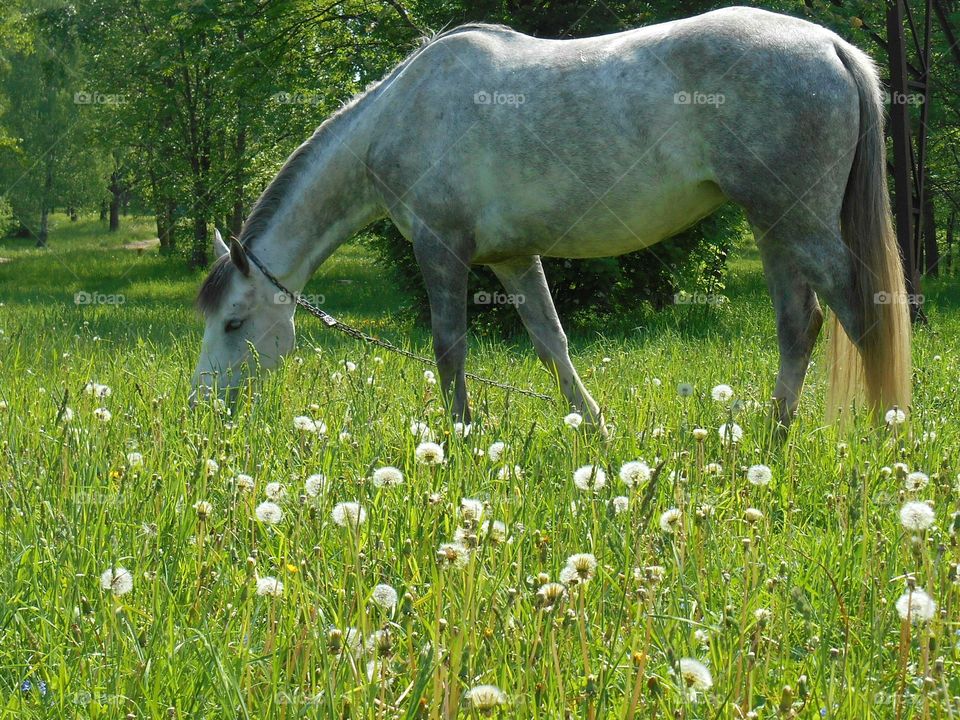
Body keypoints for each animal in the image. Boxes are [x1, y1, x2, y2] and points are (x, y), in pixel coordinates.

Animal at [191, 7, 912, 428]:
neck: (398, 115)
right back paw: (771, 444)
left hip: (798, 224)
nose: (200, 408)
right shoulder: (512, 257)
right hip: (774, 228)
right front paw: (595, 428)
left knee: (859, 314)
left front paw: (460, 441)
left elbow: (449, 348)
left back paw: (878, 441)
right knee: (799, 326)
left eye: (234, 323)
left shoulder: (440, 248)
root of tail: (832, 45)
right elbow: (551, 342)